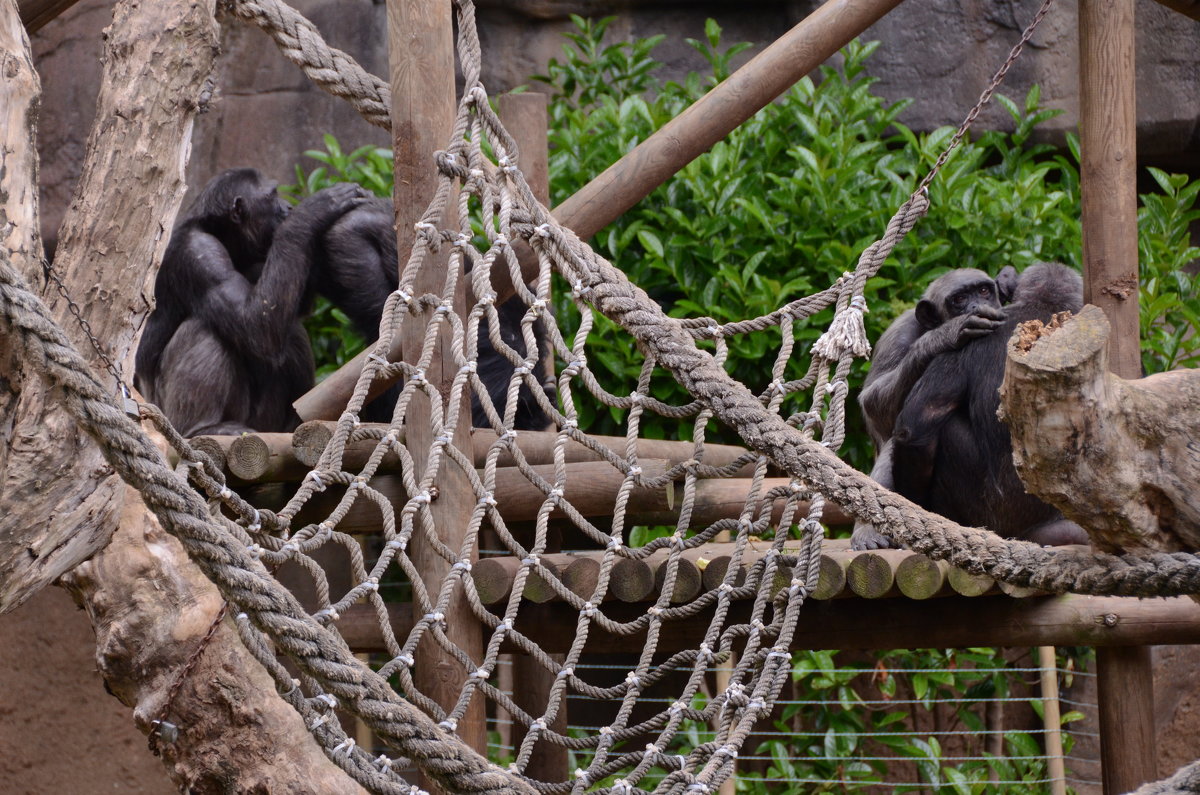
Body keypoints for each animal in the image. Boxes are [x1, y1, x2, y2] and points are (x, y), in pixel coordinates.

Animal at [135, 166, 364, 437]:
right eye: (272, 195)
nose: (288, 206)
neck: (224, 237)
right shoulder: (198, 253)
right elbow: (256, 324)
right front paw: (315, 210)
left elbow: (276, 305)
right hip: (169, 415)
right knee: (204, 329)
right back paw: (204, 427)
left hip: (263, 421)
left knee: (292, 330)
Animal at [849, 264, 1017, 552]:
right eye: (959, 299)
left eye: (984, 290)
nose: (977, 304)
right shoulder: (899, 333)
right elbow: (873, 402)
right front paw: (946, 335)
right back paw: (869, 532)